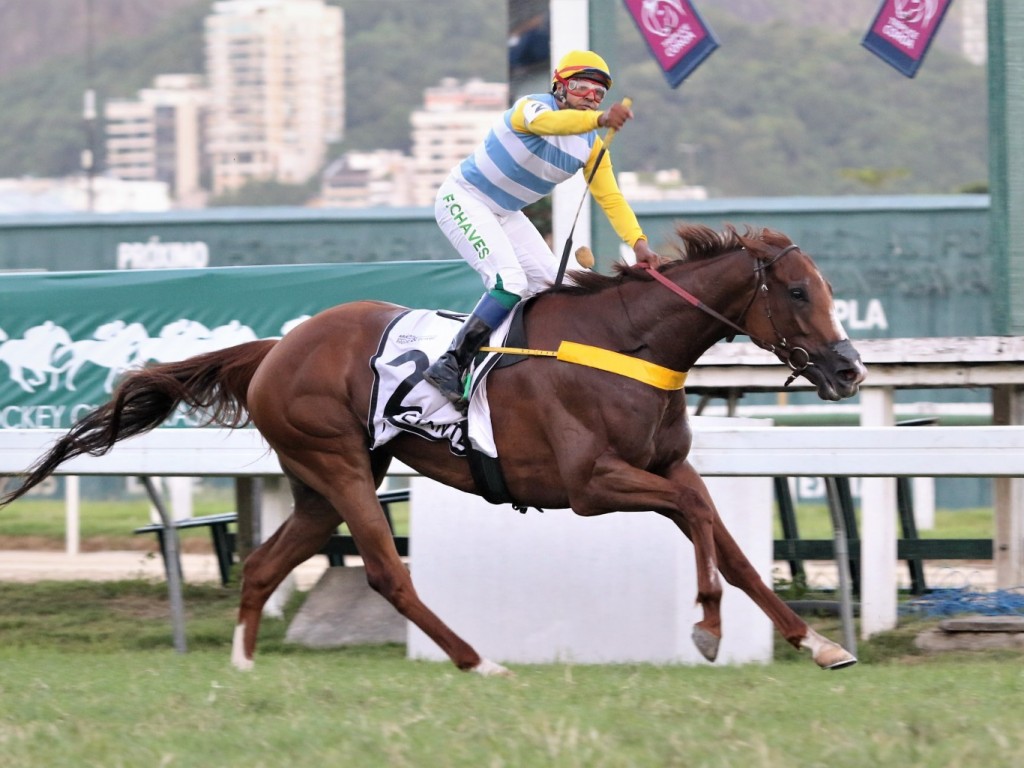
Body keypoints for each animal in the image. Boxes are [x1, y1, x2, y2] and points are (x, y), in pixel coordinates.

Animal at [0, 222, 864, 671]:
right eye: (797, 291)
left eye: (828, 290)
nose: (851, 368)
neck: (624, 342)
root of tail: (278, 345)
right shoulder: (592, 485)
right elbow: (697, 519)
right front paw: (709, 627)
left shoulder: (663, 464)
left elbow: (728, 542)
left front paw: (817, 642)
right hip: (339, 465)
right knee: (387, 573)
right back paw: (478, 658)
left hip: (319, 485)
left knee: (265, 563)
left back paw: (244, 664)